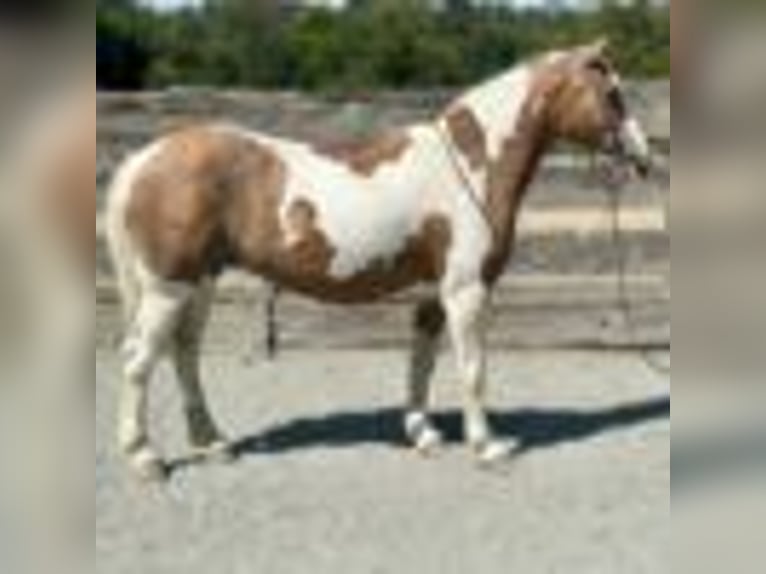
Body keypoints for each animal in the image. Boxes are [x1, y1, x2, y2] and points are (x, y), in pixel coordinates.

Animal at [105, 40, 652, 481]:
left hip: (200, 282)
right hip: (168, 287)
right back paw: (145, 458)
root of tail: (144, 159)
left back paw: (214, 444)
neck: (470, 165)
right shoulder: (465, 291)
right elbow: (472, 368)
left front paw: (424, 435)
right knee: (137, 361)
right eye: (612, 93)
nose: (645, 158)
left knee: (184, 354)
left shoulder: (433, 296)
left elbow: (422, 364)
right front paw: (487, 447)